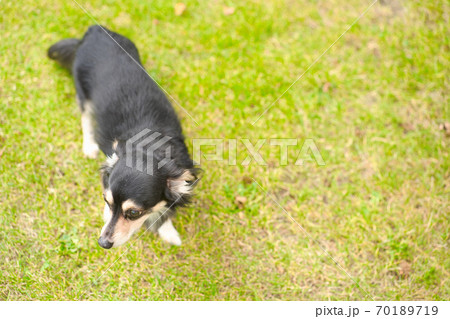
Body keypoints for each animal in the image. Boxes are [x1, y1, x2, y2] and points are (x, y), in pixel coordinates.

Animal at [47, 25, 199, 250]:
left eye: (134, 213)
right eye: (107, 201)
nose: (102, 243)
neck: (149, 147)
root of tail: (94, 30)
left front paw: (168, 231)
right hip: (83, 91)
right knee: (85, 117)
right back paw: (89, 145)